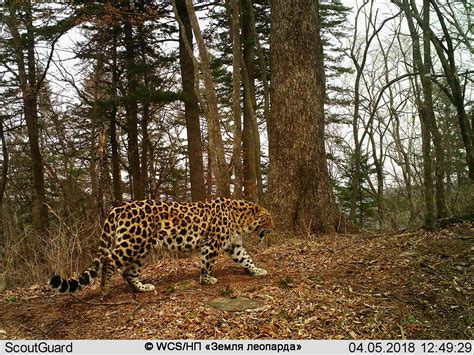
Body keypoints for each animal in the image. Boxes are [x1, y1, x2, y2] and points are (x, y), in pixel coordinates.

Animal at [49, 197, 272, 294]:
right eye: (267, 220)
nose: (273, 229)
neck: (240, 219)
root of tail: (118, 208)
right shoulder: (212, 243)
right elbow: (207, 263)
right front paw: (207, 279)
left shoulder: (234, 245)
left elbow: (246, 259)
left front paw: (257, 270)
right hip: (132, 243)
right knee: (108, 261)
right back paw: (104, 289)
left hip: (141, 248)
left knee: (128, 272)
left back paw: (142, 288)